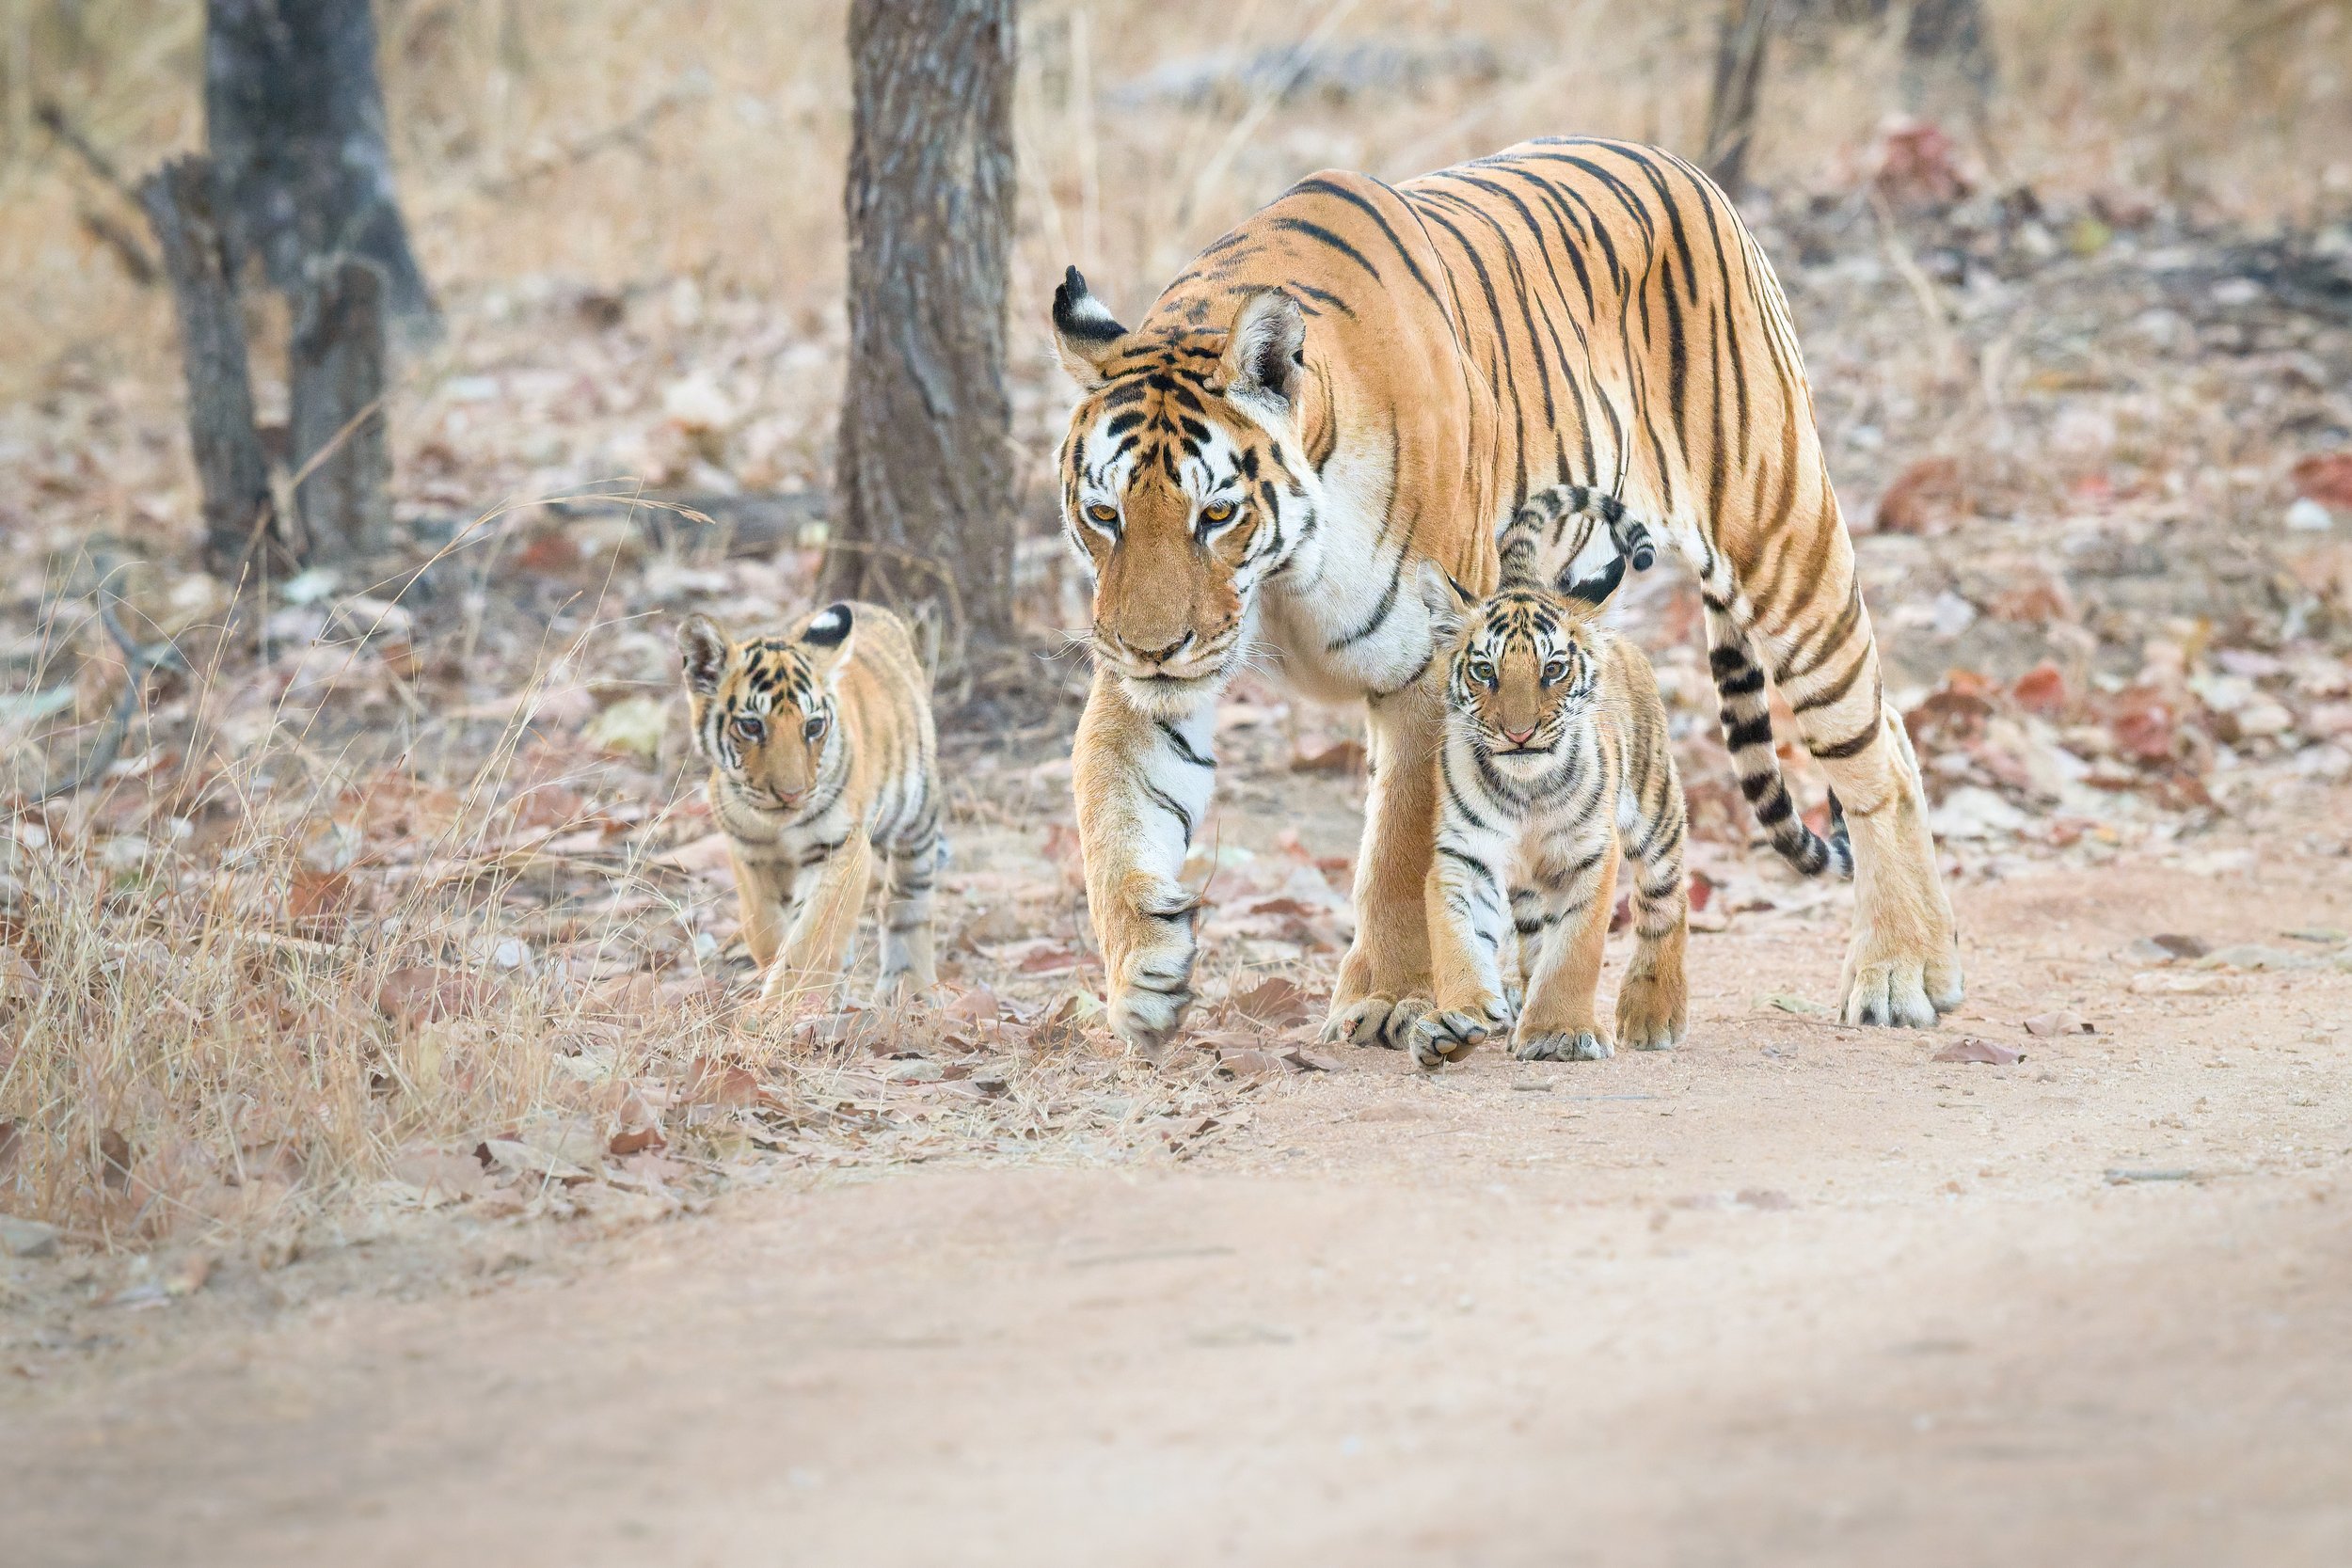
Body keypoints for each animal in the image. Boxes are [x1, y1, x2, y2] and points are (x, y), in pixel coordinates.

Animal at [675, 602, 941, 1005]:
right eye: (751, 726)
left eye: (813, 727)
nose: (791, 794)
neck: (776, 829)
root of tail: (871, 608)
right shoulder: (747, 851)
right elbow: (764, 926)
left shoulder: (840, 848)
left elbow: (812, 937)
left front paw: (781, 1003)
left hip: (916, 817)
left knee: (908, 898)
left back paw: (911, 988)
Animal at [1406, 484, 1853, 1072]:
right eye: (1485, 671)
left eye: (1553, 669)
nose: (1519, 733)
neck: (1527, 790)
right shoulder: (1465, 855)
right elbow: (1457, 938)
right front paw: (1458, 1019)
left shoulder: (1592, 853)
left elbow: (1575, 948)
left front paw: (1559, 1030)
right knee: (1533, 929)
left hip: (1654, 806)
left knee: (1666, 900)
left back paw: (1652, 1011)